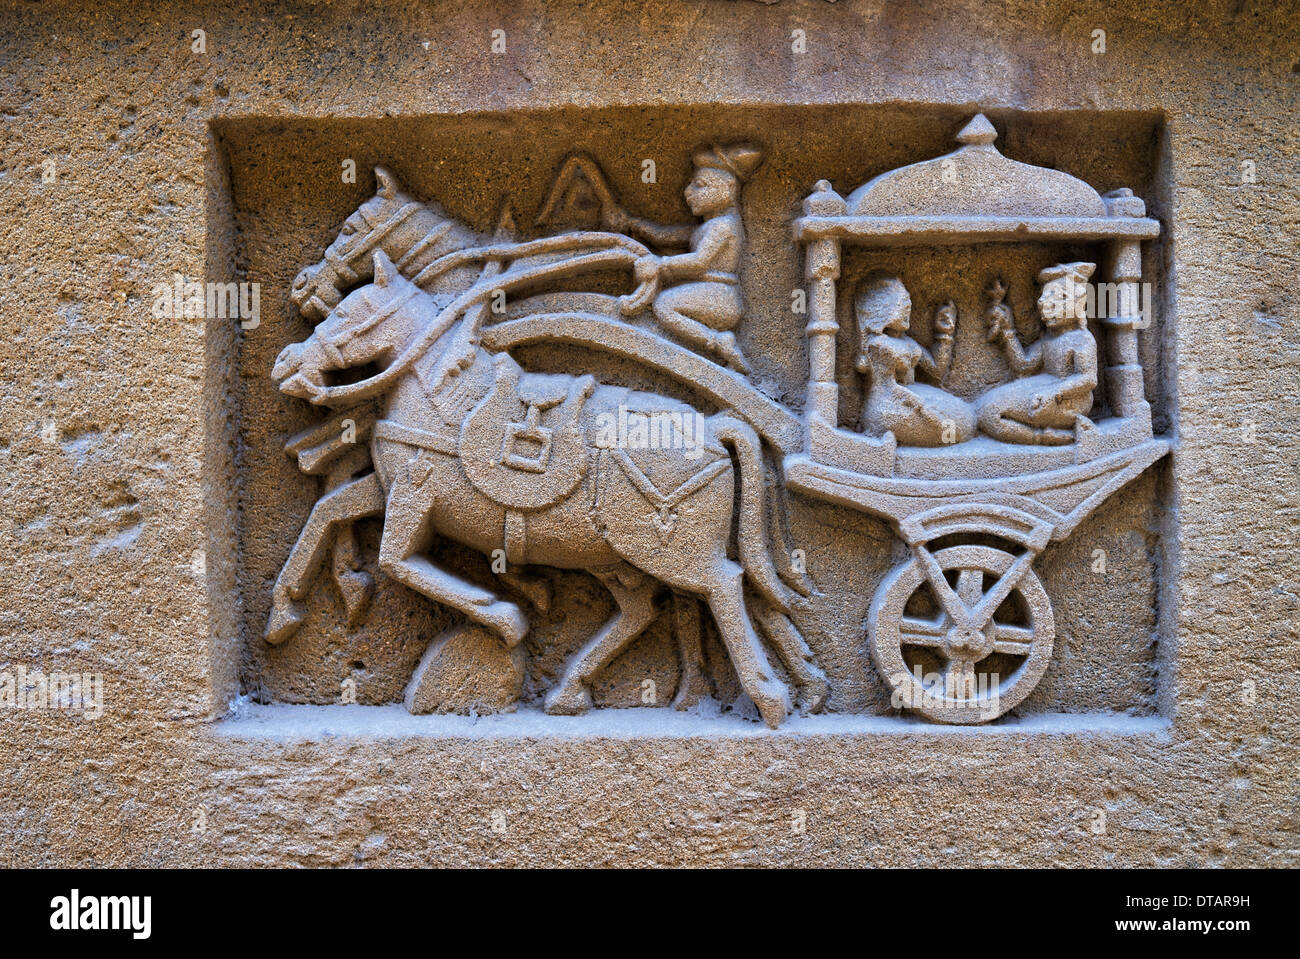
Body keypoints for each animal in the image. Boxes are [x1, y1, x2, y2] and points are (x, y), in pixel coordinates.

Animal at [269, 246, 826, 722]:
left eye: (346, 313)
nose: (286, 362)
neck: (442, 398)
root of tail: (716, 427)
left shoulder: (417, 492)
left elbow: (396, 562)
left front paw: (506, 617)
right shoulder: (395, 491)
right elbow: (327, 511)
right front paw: (284, 613)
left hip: (669, 547)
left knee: (726, 586)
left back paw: (770, 697)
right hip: (615, 555)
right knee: (657, 607)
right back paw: (574, 689)